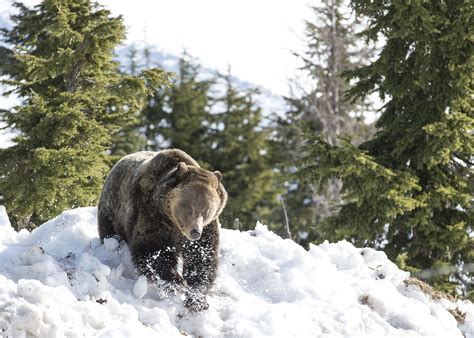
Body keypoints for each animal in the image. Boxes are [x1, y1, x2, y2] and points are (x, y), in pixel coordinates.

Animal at [97, 150, 227, 312]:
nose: (195, 232)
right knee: (109, 233)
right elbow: (153, 251)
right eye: (188, 207)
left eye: (207, 209)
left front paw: (197, 300)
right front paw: (176, 281)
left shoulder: (207, 229)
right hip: (112, 209)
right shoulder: (152, 216)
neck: (173, 221)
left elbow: (202, 258)